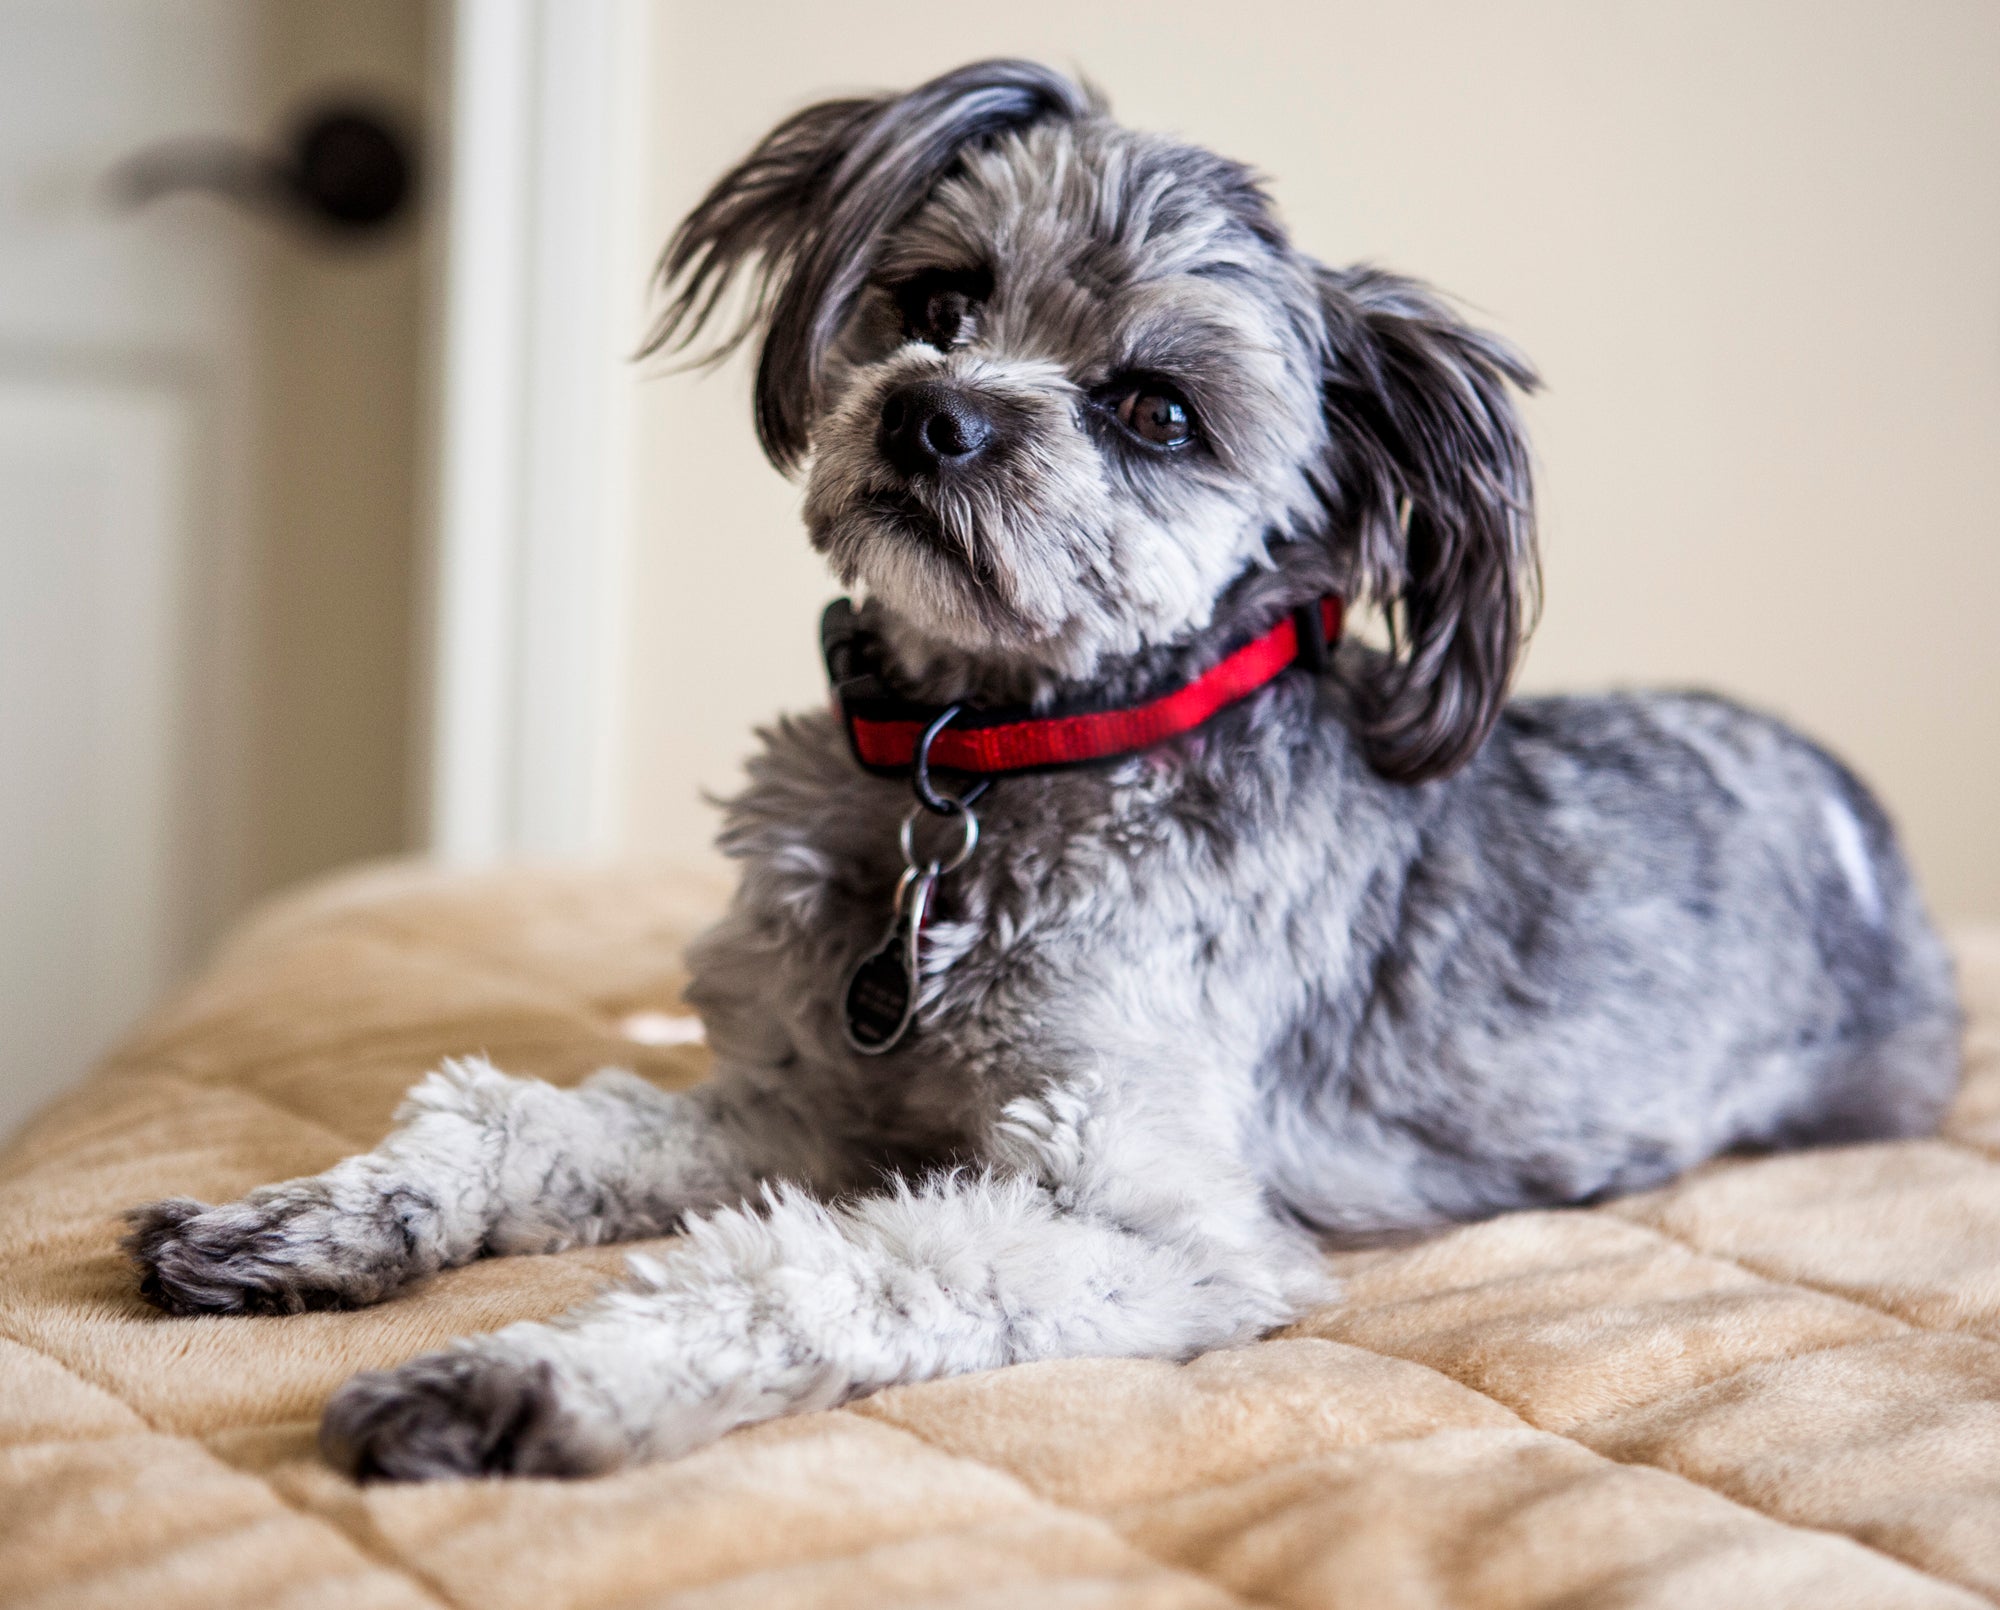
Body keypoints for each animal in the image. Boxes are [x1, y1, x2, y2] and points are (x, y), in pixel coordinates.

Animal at [121, 62, 1952, 1480]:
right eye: (939, 302)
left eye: (1156, 411)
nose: (931, 415)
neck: (992, 760)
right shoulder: (803, 1105)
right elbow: (513, 1124)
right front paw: (317, 1221)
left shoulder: (1136, 1218)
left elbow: (807, 1275)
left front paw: (525, 1376)